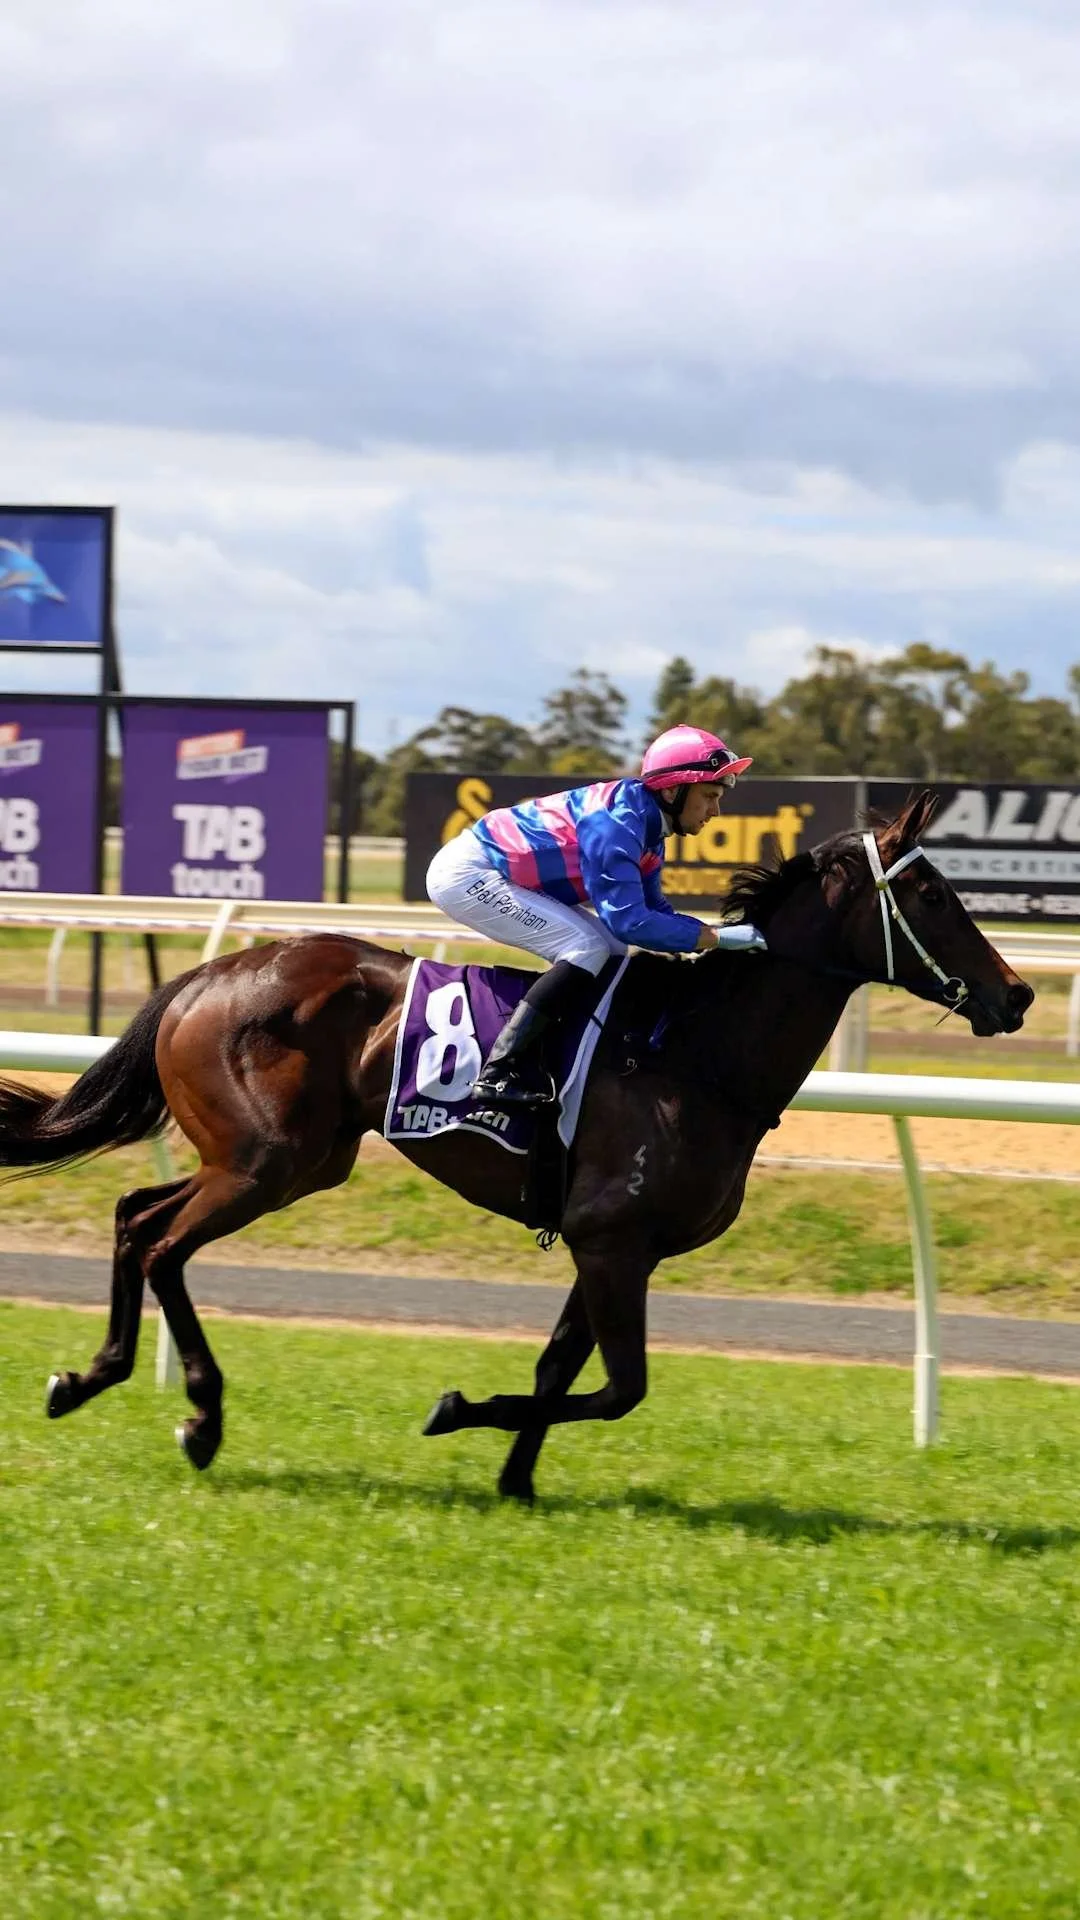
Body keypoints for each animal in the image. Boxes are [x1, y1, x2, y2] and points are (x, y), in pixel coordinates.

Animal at [0, 791, 1032, 1501]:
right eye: (931, 892)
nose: (1017, 994)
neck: (696, 1053)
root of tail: (207, 973)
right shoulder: (613, 1242)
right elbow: (620, 1389)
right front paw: (459, 1413)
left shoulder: (609, 1243)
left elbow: (561, 1368)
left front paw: (516, 1480)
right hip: (267, 1164)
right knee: (164, 1243)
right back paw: (200, 1418)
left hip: (288, 1162)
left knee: (136, 1217)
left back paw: (87, 1377)